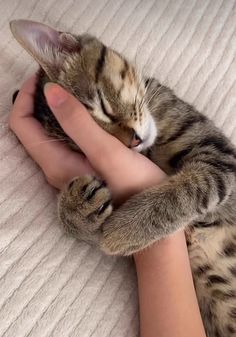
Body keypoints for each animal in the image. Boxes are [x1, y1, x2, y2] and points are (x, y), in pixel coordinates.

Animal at [10, 21, 236, 336]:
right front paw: (76, 210)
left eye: (104, 106)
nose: (133, 143)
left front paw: (123, 230)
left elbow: (189, 189)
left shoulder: (219, 155)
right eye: (81, 150)